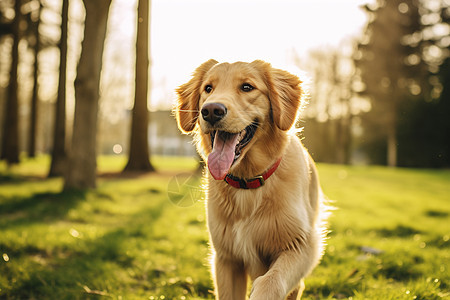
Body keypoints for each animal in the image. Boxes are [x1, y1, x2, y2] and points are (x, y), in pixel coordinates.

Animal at [175, 59, 326, 298]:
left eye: (247, 87)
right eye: (208, 88)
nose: (211, 111)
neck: (247, 183)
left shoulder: (302, 245)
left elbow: (271, 281)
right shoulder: (226, 258)